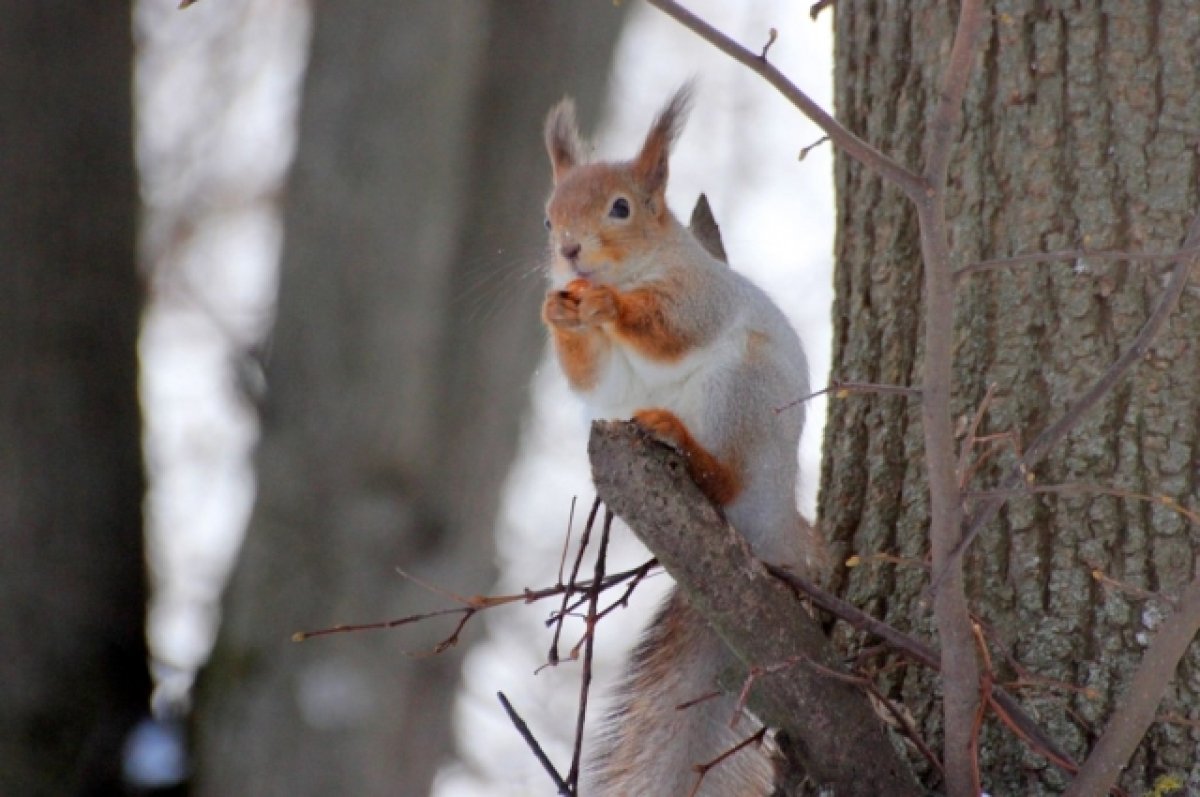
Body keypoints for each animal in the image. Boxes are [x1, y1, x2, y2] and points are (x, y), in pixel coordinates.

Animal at [542, 84, 825, 792]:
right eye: (547, 219)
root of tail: (772, 521)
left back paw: (680, 442)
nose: (569, 251)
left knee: (724, 475)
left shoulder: (700, 296)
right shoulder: (600, 374)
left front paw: (610, 309)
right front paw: (557, 312)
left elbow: (670, 328)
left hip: (739, 392)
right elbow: (592, 376)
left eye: (620, 208)